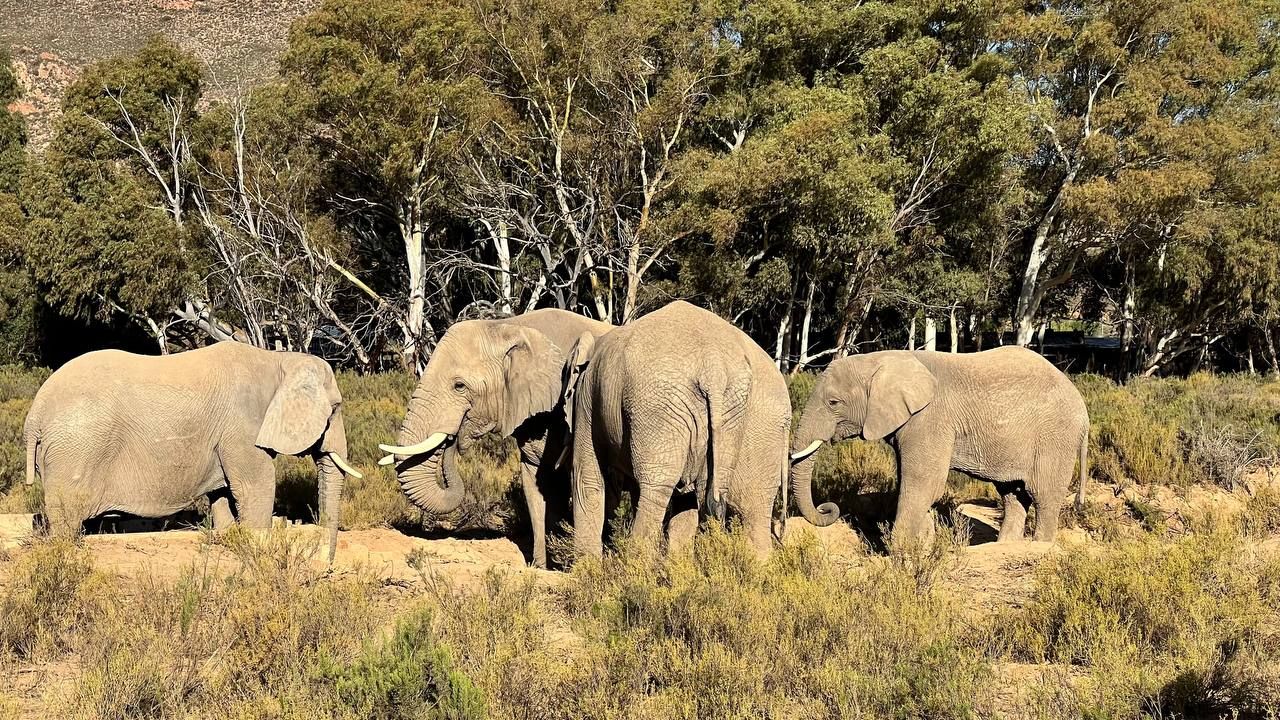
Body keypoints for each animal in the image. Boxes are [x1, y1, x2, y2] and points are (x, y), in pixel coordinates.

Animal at [23, 341, 362, 561]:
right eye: (335, 408)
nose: (326, 562)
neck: (278, 360)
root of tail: (35, 414)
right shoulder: (243, 428)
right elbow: (256, 484)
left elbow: (223, 493)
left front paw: (229, 537)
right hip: (74, 453)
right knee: (66, 524)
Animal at [568, 300, 791, 558]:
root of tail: (713, 365)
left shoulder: (587, 399)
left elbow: (586, 480)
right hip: (726, 410)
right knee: (721, 495)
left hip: (658, 406)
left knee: (655, 491)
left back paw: (635, 564)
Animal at [789, 347, 1089, 544]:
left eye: (833, 403)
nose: (828, 508)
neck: (882, 359)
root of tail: (1083, 410)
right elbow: (914, 481)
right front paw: (924, 546)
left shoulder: (930, 418)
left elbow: (924, 481)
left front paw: (901, 554)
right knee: (1013, 494)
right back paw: (1004, 547)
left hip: (1055, 437)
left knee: (1043, 495)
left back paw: (1040, 547)